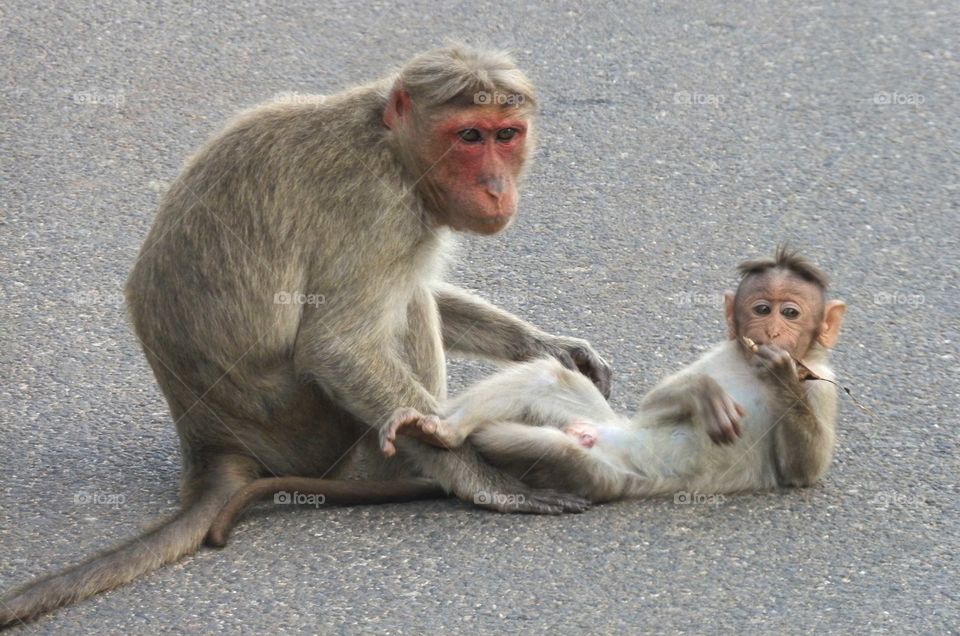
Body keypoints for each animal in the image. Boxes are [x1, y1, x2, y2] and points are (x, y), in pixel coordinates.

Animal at [0, 45, 612, 628]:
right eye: (468, 137)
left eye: (505, 135)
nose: (495, 186)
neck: (391, 145)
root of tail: (210, 443)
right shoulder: (381, 211)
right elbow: (336, 345)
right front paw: (487, 484)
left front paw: (547, 349)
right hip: (305, 431)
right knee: (401, 312)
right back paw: (414, 476)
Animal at [204, 247, 846, 546]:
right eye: (761, 307)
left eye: (792, 312)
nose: (773, 330)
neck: (748, 362)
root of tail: (593, 439)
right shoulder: (726, 349)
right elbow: (663, 402)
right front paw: (707, 391)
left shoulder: (822, 385)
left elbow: (803, 472)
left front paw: (782, 376)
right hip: (586, 426)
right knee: (544, 382)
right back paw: (444, 431)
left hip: (601, 474)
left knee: (552, 449)